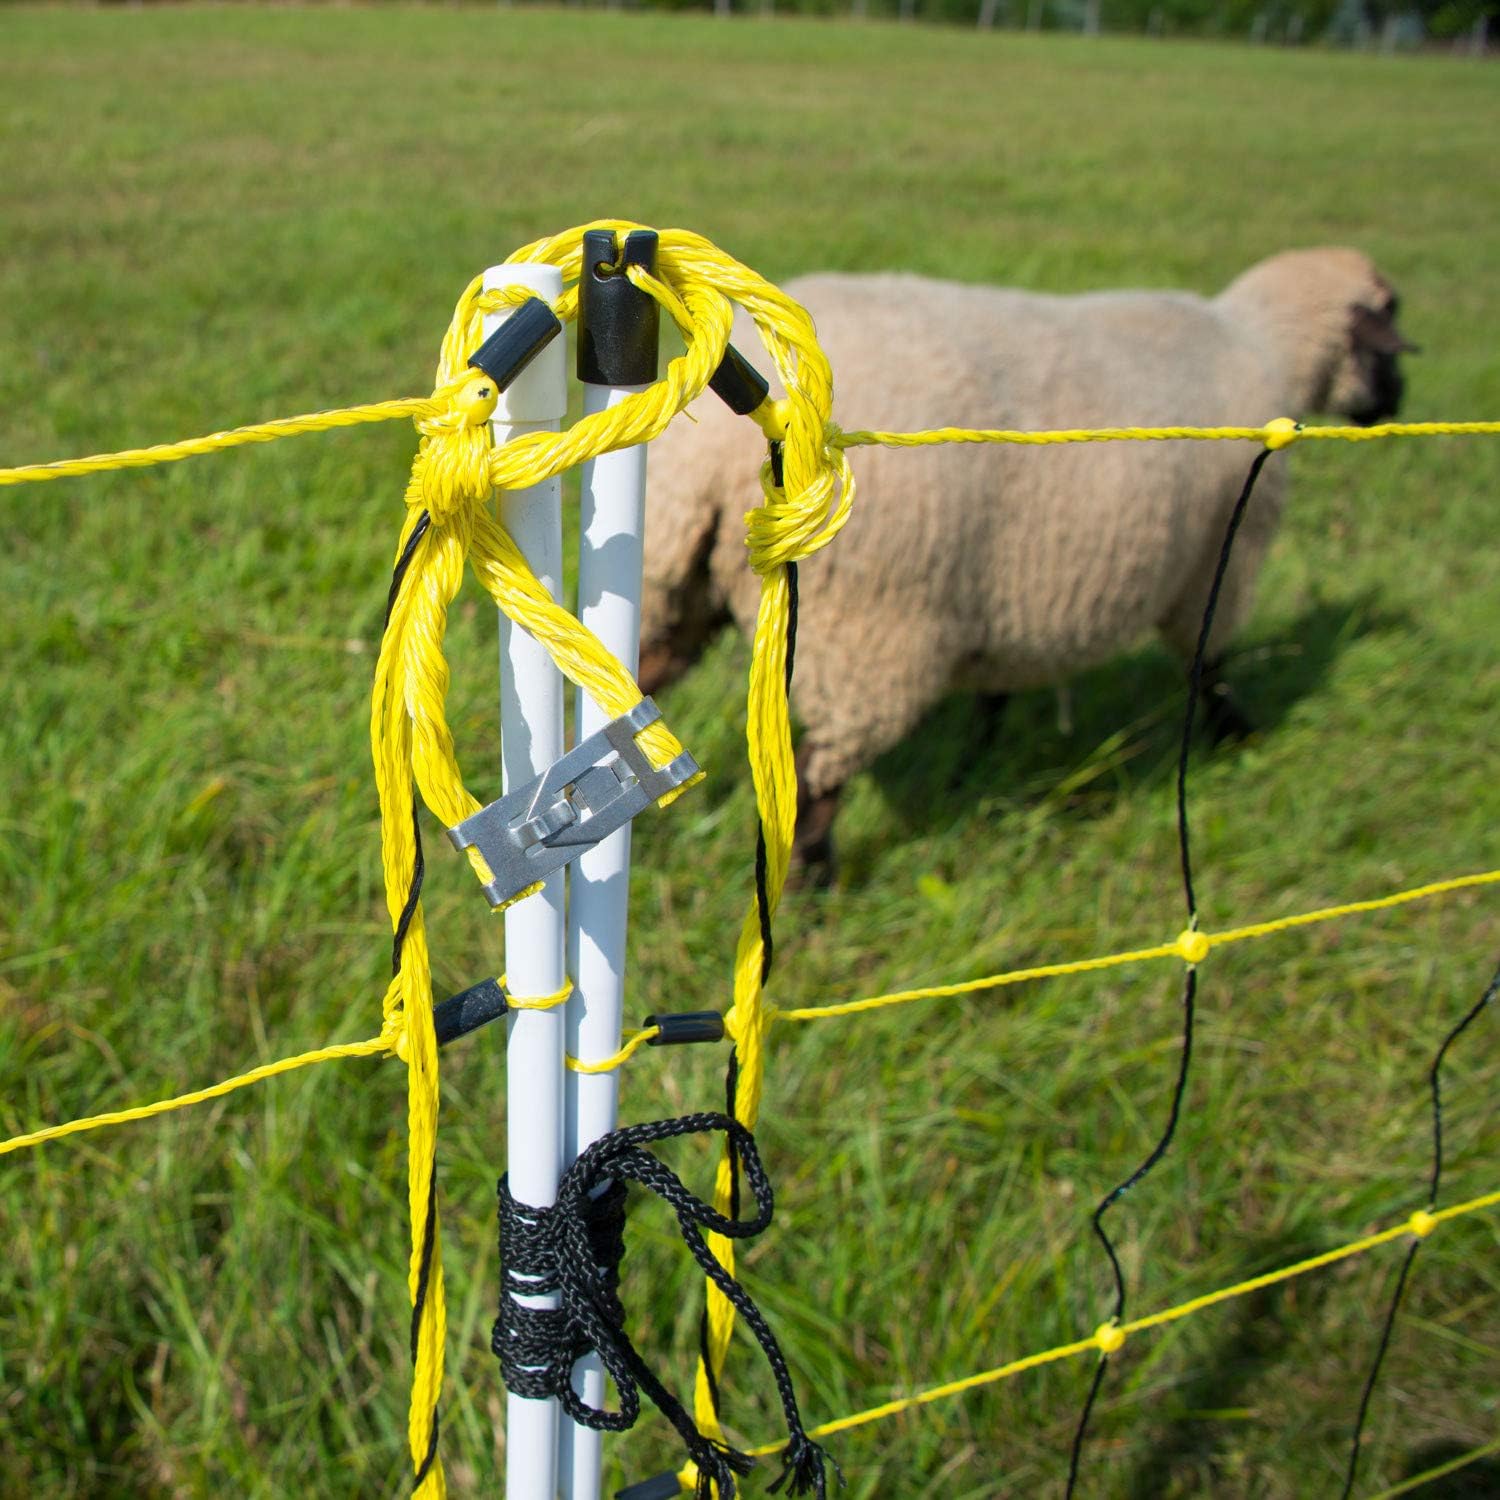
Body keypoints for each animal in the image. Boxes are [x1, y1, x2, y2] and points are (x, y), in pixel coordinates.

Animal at [638, 248, 1414, 877]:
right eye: (1386, 343)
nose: (1392, 405)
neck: (1261, 345)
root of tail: (705, 460)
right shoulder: (1222, 561)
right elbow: (1210, 664)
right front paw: (1236, 734)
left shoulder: (1005, 601)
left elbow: (998, 691)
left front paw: (976, 762)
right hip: (873, 625)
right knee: (825, 775)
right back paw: (811, 876)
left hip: (682, 583)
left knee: (646, 682)